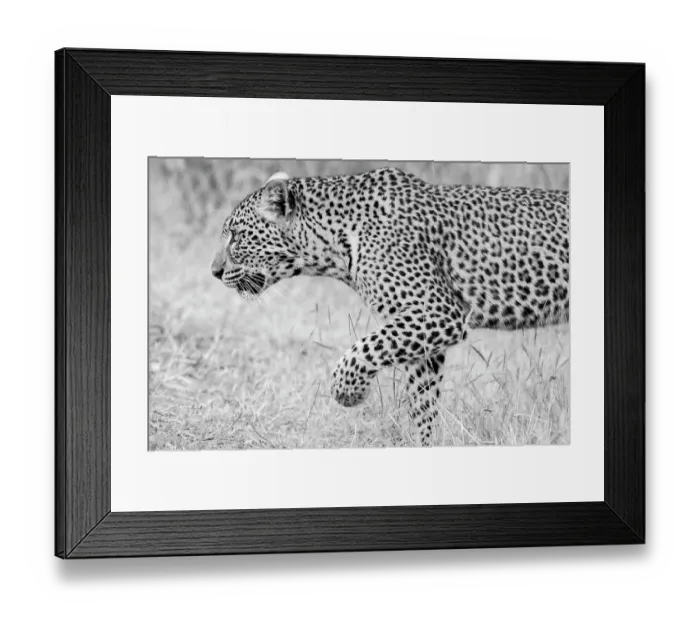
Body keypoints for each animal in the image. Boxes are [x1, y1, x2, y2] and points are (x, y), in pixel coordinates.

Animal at [212, 167, 570, 446]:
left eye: (236, 236)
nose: (214, 271)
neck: (332, 244)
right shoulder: (422, 336)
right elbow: (423, 402)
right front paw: (425, 445)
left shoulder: (439, 311)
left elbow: (360, 352)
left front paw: (349, 393)